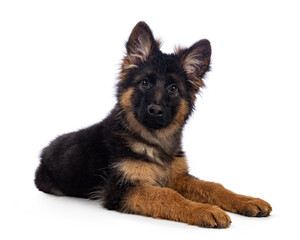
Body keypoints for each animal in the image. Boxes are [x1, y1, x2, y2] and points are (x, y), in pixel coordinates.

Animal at [35, 21, 272, 228]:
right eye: (145, 83)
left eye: (173, 88)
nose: (155, 111)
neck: (153, 141)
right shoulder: (123, 189)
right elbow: (168, 196)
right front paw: (204, 209)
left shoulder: (176, 176)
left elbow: (212, 186)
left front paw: (245, 200)